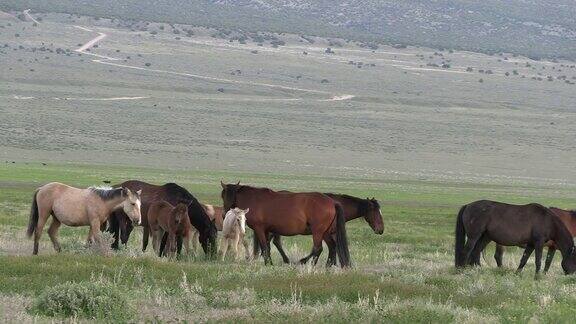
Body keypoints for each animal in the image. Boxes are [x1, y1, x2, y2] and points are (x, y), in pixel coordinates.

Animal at [219, 181, 352, 268]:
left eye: (224, 195)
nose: (224, 214)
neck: (253, 199)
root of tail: (332, 202)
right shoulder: (267, 230)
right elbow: (267, 246)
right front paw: (269, 262)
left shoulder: (259, 229)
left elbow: (264, 246)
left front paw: (268, 263)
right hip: (325, 232)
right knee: (332, 246)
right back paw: (328, 266)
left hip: (318, 232)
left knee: (318, 248)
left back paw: (306, 263)